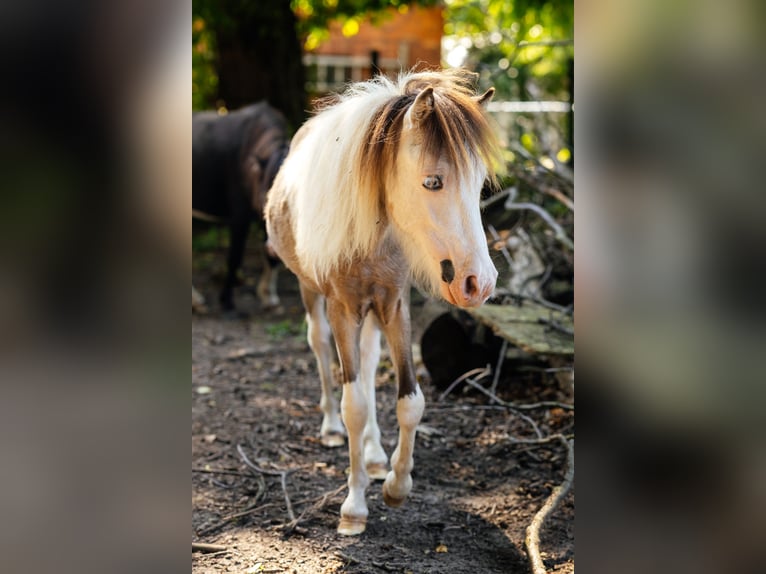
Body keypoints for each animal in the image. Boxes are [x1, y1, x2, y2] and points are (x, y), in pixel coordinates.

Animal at [192, 102, 289, 314]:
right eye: (267, 197)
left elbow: (269, 258)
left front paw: (269, 298)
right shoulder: (239, 217)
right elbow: (235, 257)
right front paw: (227, 302)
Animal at [265, 68, 501, 535]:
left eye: (479, 184)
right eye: (432, 181)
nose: (479, 283)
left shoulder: (394, 304)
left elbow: (410, 401)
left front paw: (396, 484)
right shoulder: (342, 309)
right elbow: (353, 403)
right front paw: (354, 507)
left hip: (372, 311)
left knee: (371, 361)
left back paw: (375, 456)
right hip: (311, 294)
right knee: (320, 348)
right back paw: (331, 429)